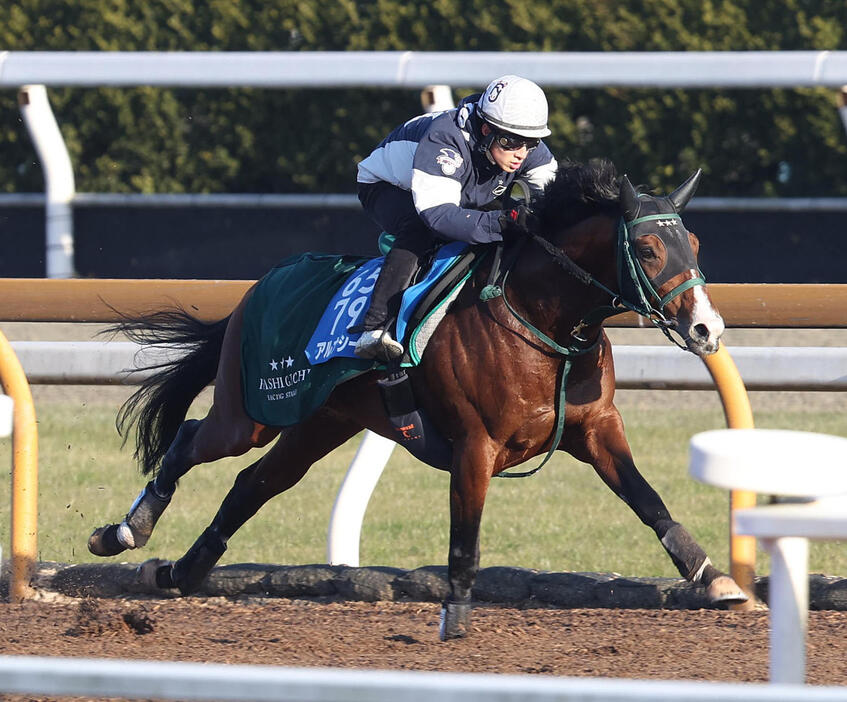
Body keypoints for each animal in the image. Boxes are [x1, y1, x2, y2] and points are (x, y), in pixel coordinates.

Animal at [89, 161, 744, 644]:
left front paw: (713, 577)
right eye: (650, 249)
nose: (708, 329)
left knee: (254, 484)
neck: (538, 316)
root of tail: (259, 286)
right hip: (249, 413)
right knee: (191, 440)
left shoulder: (596, 427)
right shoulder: (475, 445)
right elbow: (465, 537)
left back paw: (182, 569)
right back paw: (125, 533)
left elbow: (648, 499)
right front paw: (455, 617)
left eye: (693, 241)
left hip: (321, 421)